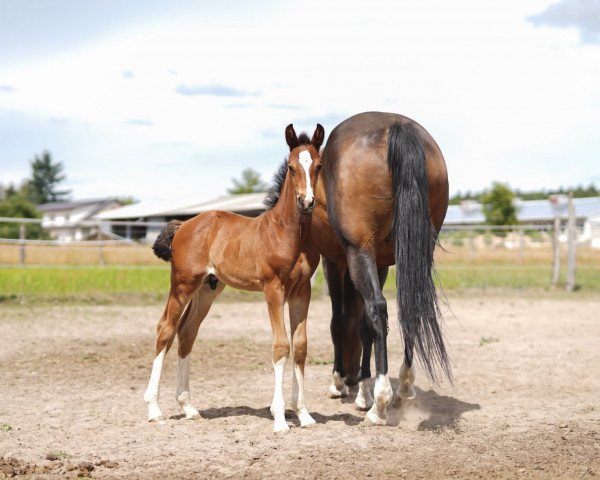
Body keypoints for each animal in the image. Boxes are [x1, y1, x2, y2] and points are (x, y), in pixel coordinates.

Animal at [144, 122, 324, 434]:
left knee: (186, 332)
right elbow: (281, 346)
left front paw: (303, 414)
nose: (306, 202)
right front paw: (280, 419)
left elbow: (300, 346)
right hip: (183, 284)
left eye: (318, 166)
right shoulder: (274, 289)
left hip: (208, 288)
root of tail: (184, 225)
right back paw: (154, 408)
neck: (288, 232)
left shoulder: (302, 291)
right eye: (291, 167)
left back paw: (188, 407)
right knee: (165, 329)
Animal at [310, 111, 450, 424]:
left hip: (358, 251)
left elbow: (340, 320)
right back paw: (404, 388)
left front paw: (341, 383)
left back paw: (381, 403)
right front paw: (363, 389)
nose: (350, 377)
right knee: (410, 309)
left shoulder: (334, 263)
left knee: (377, 308)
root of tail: (397, 127)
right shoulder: (382, 262)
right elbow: (364, 326)